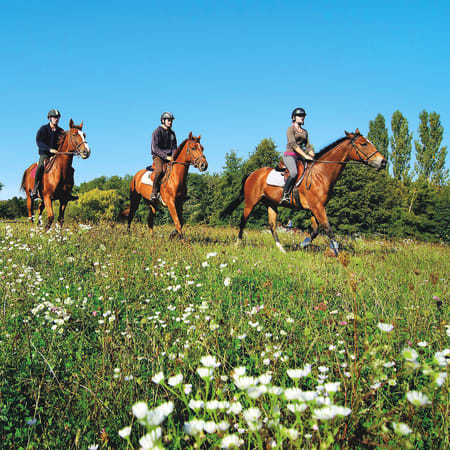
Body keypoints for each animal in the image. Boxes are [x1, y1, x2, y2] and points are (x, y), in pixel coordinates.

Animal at [221, 130, 386, 255]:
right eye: (364, 143)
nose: (383, 162)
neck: (321, 174)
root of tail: (253, 173)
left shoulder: (314, 208)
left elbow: (316, 230)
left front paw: (303, 244)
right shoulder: (317, 207)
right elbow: (328, 229)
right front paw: (337, 252)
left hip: (271, 204)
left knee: (272, 226)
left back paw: (281, 249)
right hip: (251, 202)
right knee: (243, 220)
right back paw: (238, 243)